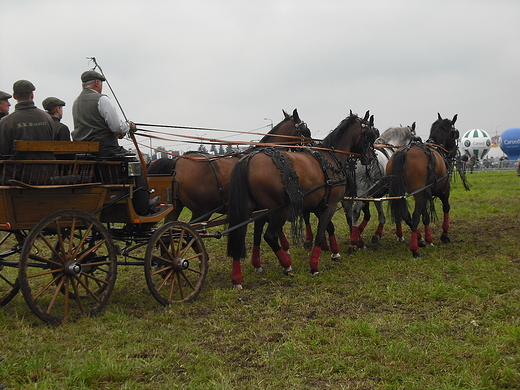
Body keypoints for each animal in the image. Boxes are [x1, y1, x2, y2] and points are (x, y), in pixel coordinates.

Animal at [225, 111, 376, 288]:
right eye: (369, 135)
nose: (371, 157)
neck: (331, 158)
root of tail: (248, 159)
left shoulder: (319, 205)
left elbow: (330, 228)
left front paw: (335, 253)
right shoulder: (331, 204)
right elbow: (320, 233)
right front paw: (314, 266)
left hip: (251, 209)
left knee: (240, 233)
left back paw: (238, 277)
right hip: (280, 210)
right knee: (270, 235)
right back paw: (287, 265)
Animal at [386, 114, 464, 258]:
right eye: (455, 133)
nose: (454, 152)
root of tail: (404, 152)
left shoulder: (426, 193)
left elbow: (426, 216)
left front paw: (428, 239)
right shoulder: (444, 191)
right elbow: (446, 208)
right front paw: (444, 235)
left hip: (398, 193)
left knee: (406, 215)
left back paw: (419, 240)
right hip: (419, 193)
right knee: (415, 215)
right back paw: (414, 249)